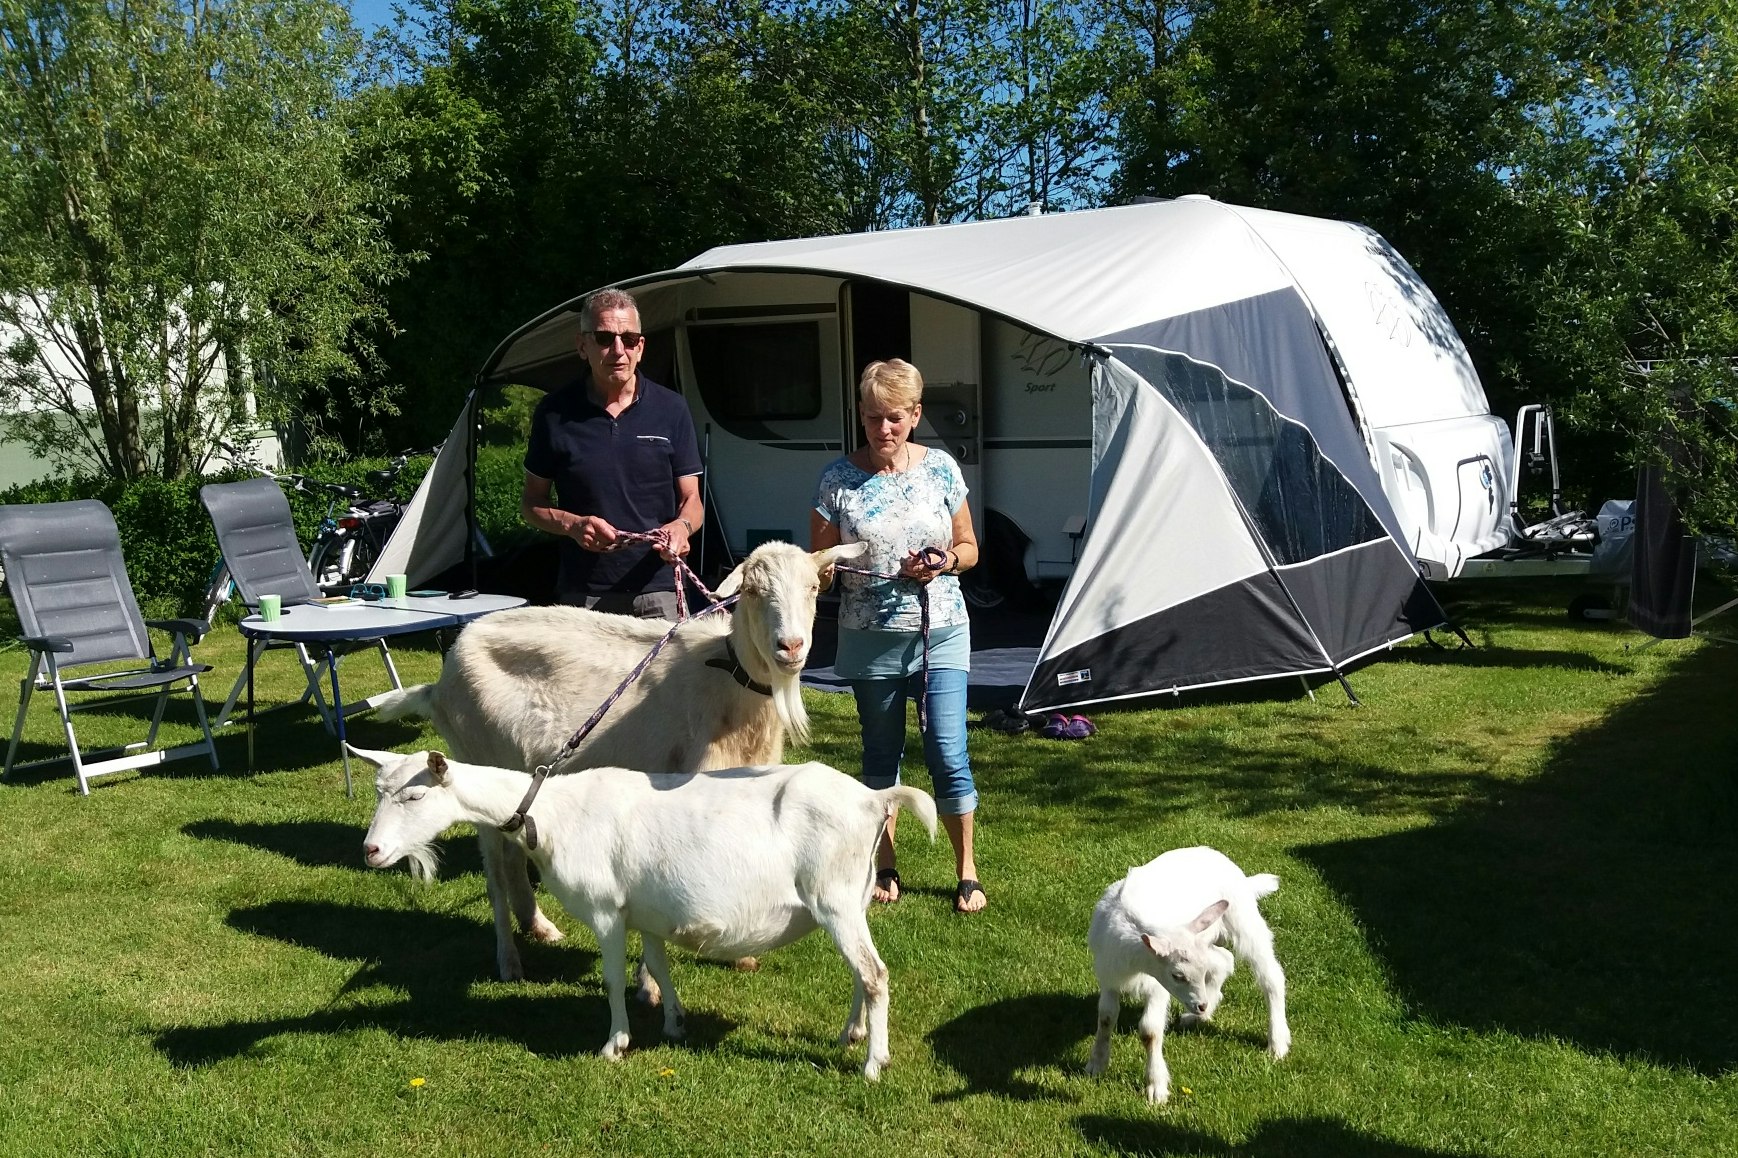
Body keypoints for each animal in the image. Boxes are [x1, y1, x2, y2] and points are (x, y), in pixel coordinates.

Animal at [353, 746, 936, 1080]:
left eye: (412, 798)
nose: (371, 851)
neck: (553, 812)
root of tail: (876, 798)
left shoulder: (606, 910)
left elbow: (613, 979)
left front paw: (615, 1044)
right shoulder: (647, 911)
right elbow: (658, 964)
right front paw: (674, 1023)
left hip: (834, 897)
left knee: (875, 974)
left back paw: (873, 1064)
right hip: (851, 899)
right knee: (862, 972)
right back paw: (851, 1035)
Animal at [374, 540, 867, 982]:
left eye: (813, 587)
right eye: (751, 591)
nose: (791, 647)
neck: (728, 684)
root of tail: (438, 684)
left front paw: (742, 954)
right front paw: (655, 977)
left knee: (513, 852)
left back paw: (539, 927)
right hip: (471, 755)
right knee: (496, 869)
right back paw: (509, 961)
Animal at [1086, 846, 1290, 1104]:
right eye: (1178, 976)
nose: (1200, 1005)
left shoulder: (1157, 985)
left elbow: (1150, 1031)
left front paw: (1156, 1087)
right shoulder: (1109, 976)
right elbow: (1106, 1018)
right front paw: (1096, 1065)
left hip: (1243, 919)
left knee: (1271, 976)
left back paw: (1277, 1043)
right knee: (1225, 960)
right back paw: (1198, 1016)